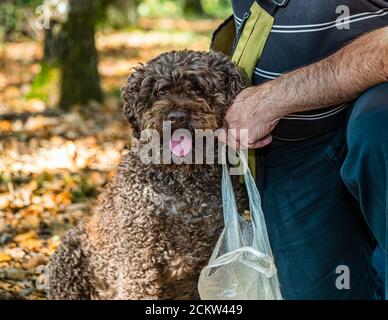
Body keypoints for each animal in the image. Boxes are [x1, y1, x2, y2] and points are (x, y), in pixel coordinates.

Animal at [47, 50, 247, 300]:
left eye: (198, 89)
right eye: (161, 91)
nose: (177, 116)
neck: (182, 181)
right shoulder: (139, 251)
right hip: (69, 256)